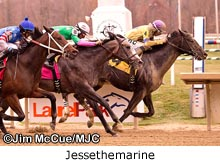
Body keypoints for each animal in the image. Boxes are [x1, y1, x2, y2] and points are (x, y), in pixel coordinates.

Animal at [62, 29, 208, 129]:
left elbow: (151, 112)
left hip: (96, 83)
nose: (204, 53)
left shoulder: (147, 92)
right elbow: (128, 109)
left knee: (78, 95)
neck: (155, 62)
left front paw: (135, 116)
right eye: (191, 40)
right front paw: (117, 124)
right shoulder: (140, 90)